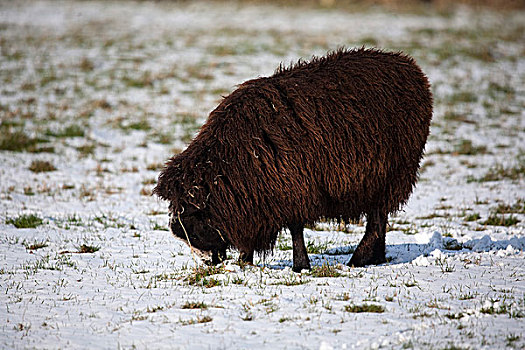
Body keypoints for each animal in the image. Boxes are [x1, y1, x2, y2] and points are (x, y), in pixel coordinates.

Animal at [154, 47, 432, 270]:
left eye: (192, 216)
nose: (208, 263)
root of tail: (413, 69)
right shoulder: (260, 200)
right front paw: (245, 261)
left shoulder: (294, 189)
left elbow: (295, 229)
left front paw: (300, 265)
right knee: (380, 220)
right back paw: (375, 258)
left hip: (392, 174)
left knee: (376, 220)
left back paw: (358, 259)